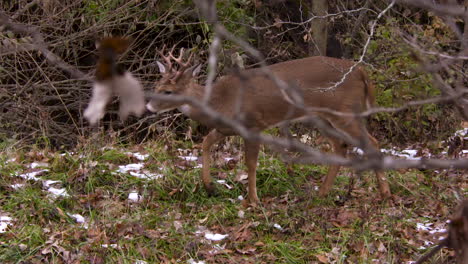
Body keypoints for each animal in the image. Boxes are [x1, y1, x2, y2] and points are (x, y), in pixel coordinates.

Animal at [147, 46, 392, 205]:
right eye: (157, 85)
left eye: (168, 91)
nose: (148, 106)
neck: (218, 102)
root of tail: (361, 72)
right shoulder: (227, 128)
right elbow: (205, 143)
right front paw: (209, 186)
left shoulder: (253, 124)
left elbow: (251, 163)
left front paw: (253, 200)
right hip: (321, 117)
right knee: (340, 146)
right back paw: (321, 193)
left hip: (346, 112)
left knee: (372, 143)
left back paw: (385, 194)